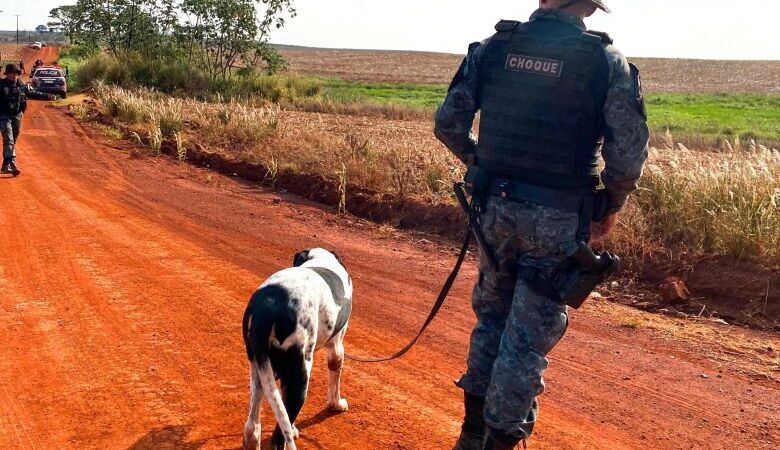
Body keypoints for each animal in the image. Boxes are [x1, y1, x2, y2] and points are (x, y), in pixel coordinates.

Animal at [242, 250, 352, 450]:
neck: (321, 258)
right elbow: (335, 384)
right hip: (300, 377)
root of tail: (268, 306)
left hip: (259, 370)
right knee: (278, 438)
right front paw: (337, 404)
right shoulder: (336, 348)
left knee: (252, 429)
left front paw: (293, 429)